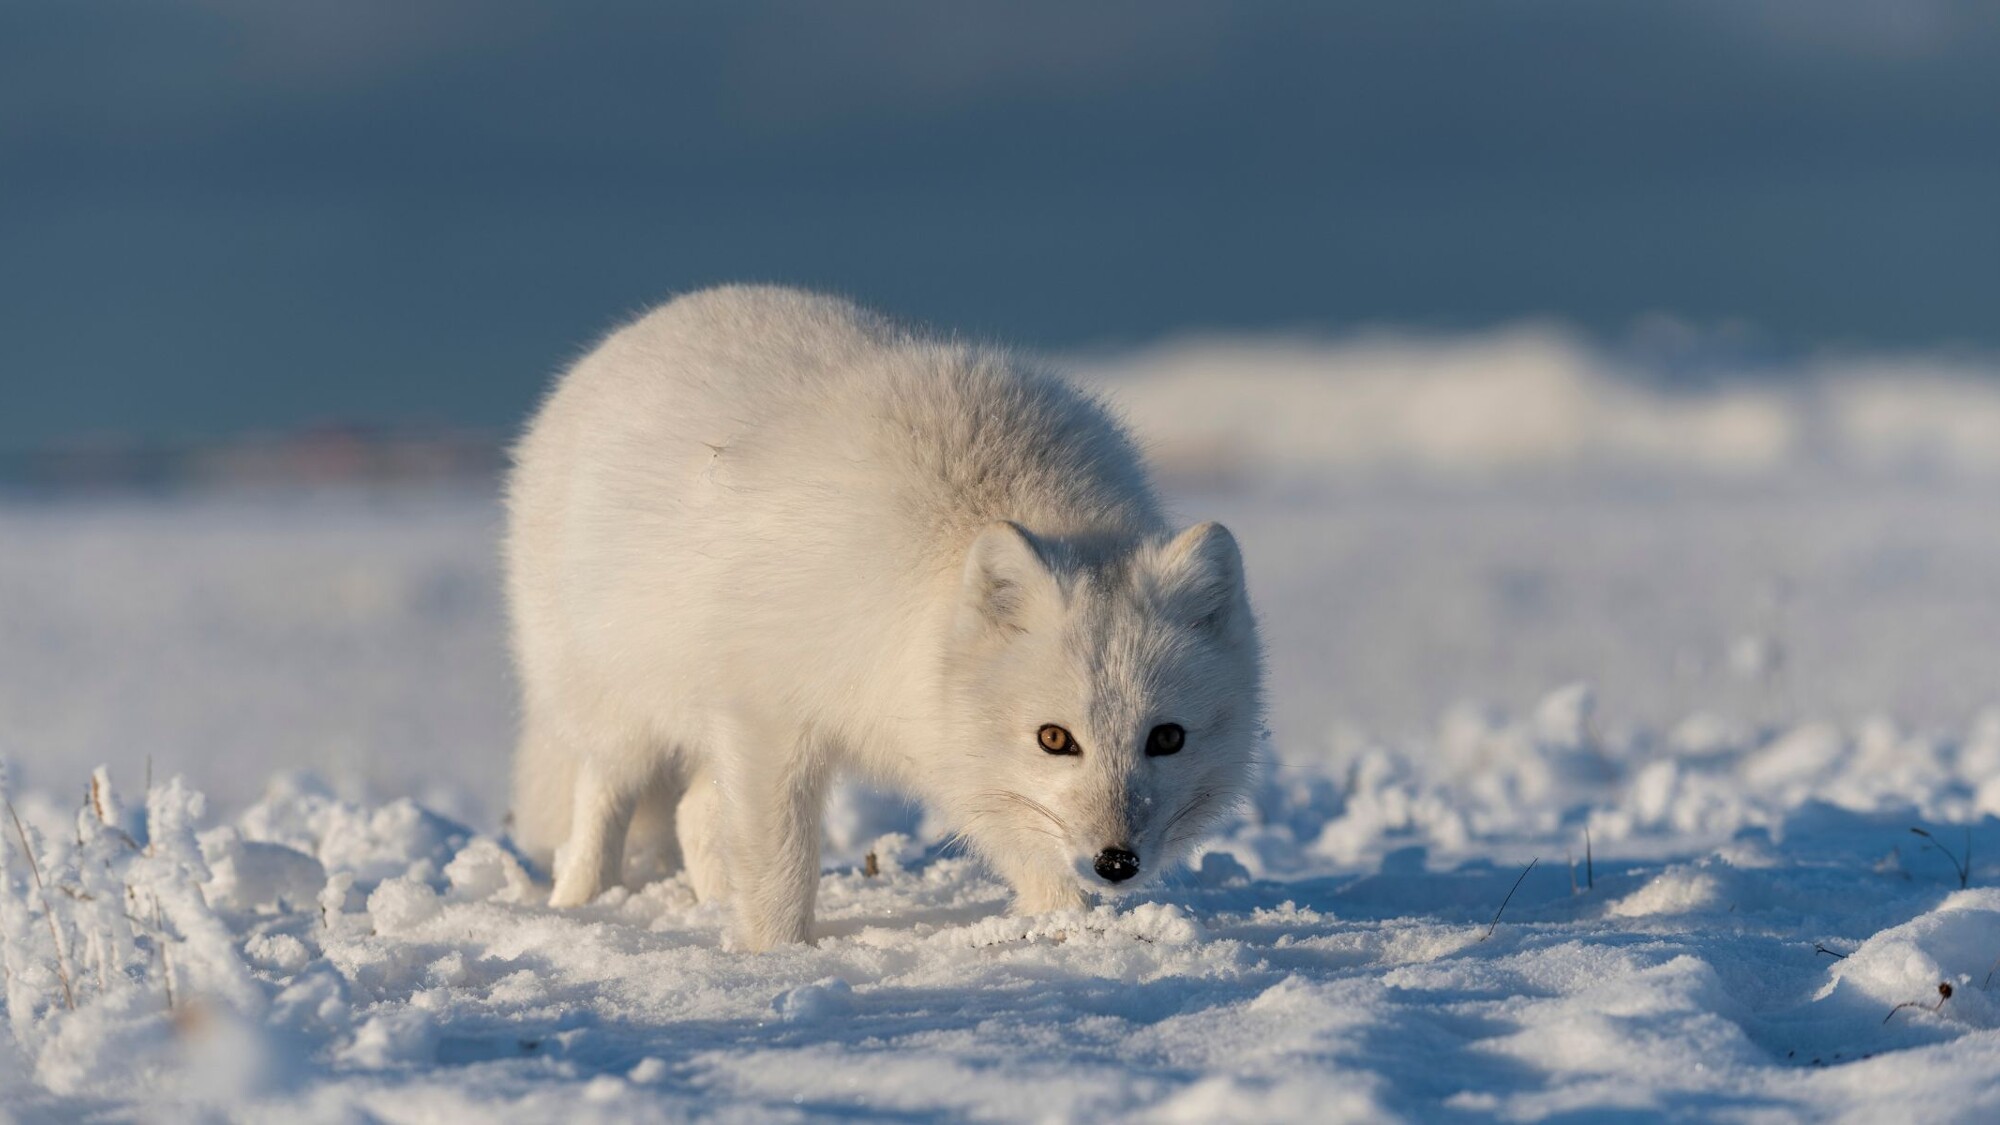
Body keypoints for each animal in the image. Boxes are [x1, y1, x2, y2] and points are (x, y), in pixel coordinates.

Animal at [505, 285, 1263, 951]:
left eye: (1166, 738)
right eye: (1055, 738)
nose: (1116, 863)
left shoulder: (960, 753)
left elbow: (1034, 854)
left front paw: (1068, 934)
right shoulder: (768, 718)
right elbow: (782, 865)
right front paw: (775, 957)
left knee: (694, 816)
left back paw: (713, 906)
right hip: (615, 706)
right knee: (603, 800)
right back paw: (582, 905)